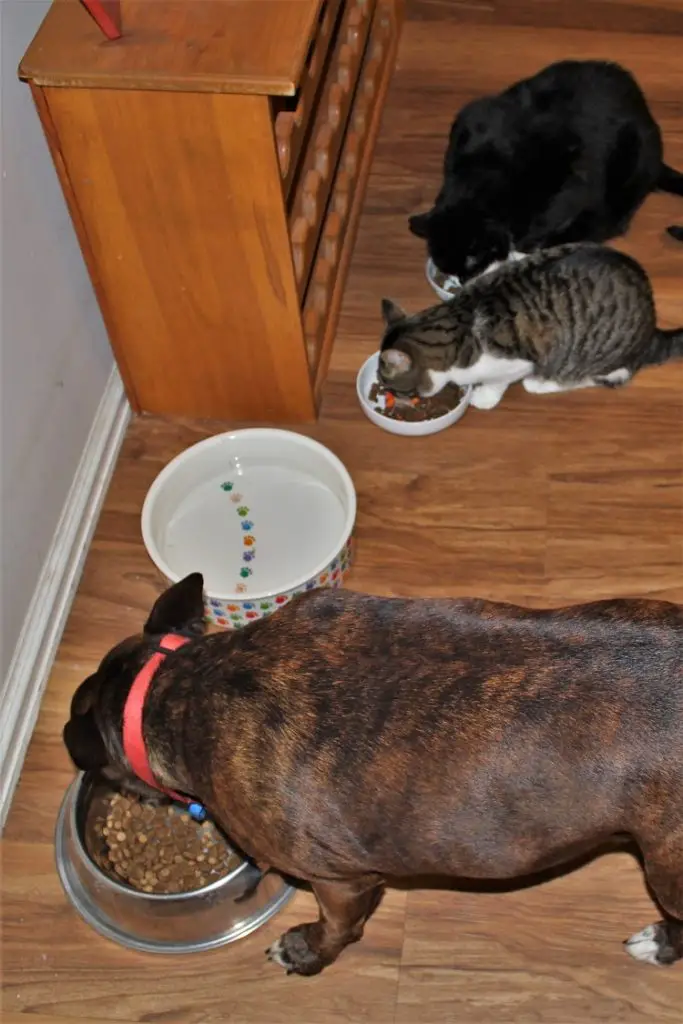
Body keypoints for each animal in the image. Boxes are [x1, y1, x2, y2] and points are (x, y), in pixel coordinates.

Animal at [63, 577, 683, 974]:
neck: (185, 686)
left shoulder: (341, 881)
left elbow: (338, 928)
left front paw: (307, 952)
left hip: (668, 867)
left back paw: (660, 944)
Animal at [378, 243, 683, 411]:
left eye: (391, 384)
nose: (390, 394)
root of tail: (651, 330)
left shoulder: (514, 365)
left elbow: (497, 383)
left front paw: (483, 397)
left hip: (590, 356)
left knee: (611, 376)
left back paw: (542, 383)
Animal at [411, 59, 683, 284]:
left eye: (471, 261)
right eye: (450, 270)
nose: (465, 281)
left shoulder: (572, 178)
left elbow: (547, 218)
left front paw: (527, 243)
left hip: (628, 167)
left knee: (609, 222)